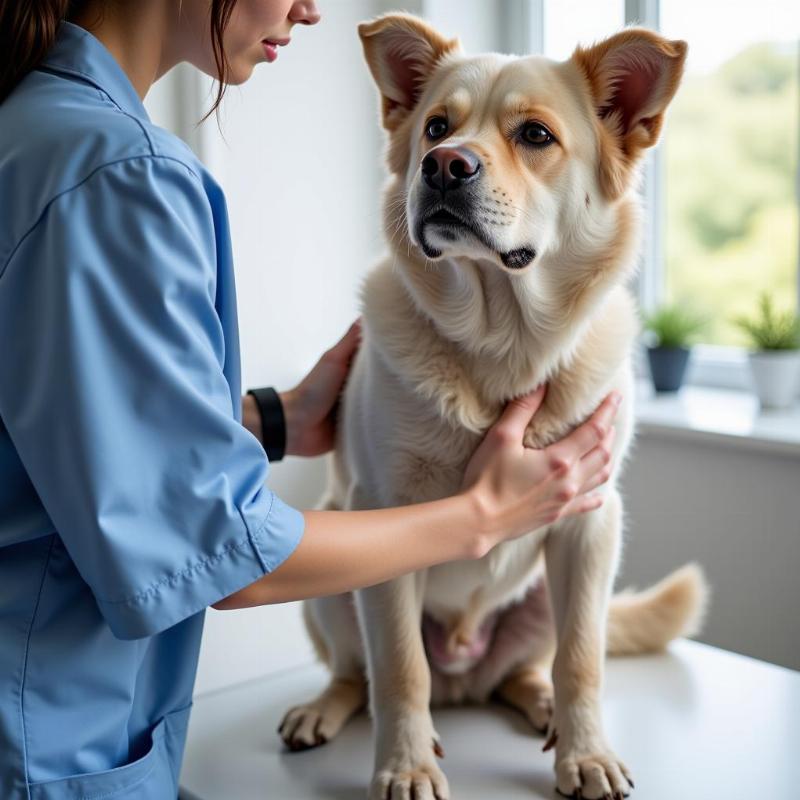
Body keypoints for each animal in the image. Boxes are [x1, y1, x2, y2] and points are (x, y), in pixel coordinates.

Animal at [280, 14, 708, 800]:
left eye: (535, 135)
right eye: (436, 127)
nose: (444, 166)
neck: (504, 343)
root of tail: (463, 680)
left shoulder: (590, 520)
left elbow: (583, 661)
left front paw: (586, 752)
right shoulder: (382, 515)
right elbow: (399, 671)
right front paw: (405, 765)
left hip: (552, 592)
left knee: (532, 669)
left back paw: (542, 707)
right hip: (334, 570)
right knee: (360, 674)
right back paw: (327, 708)